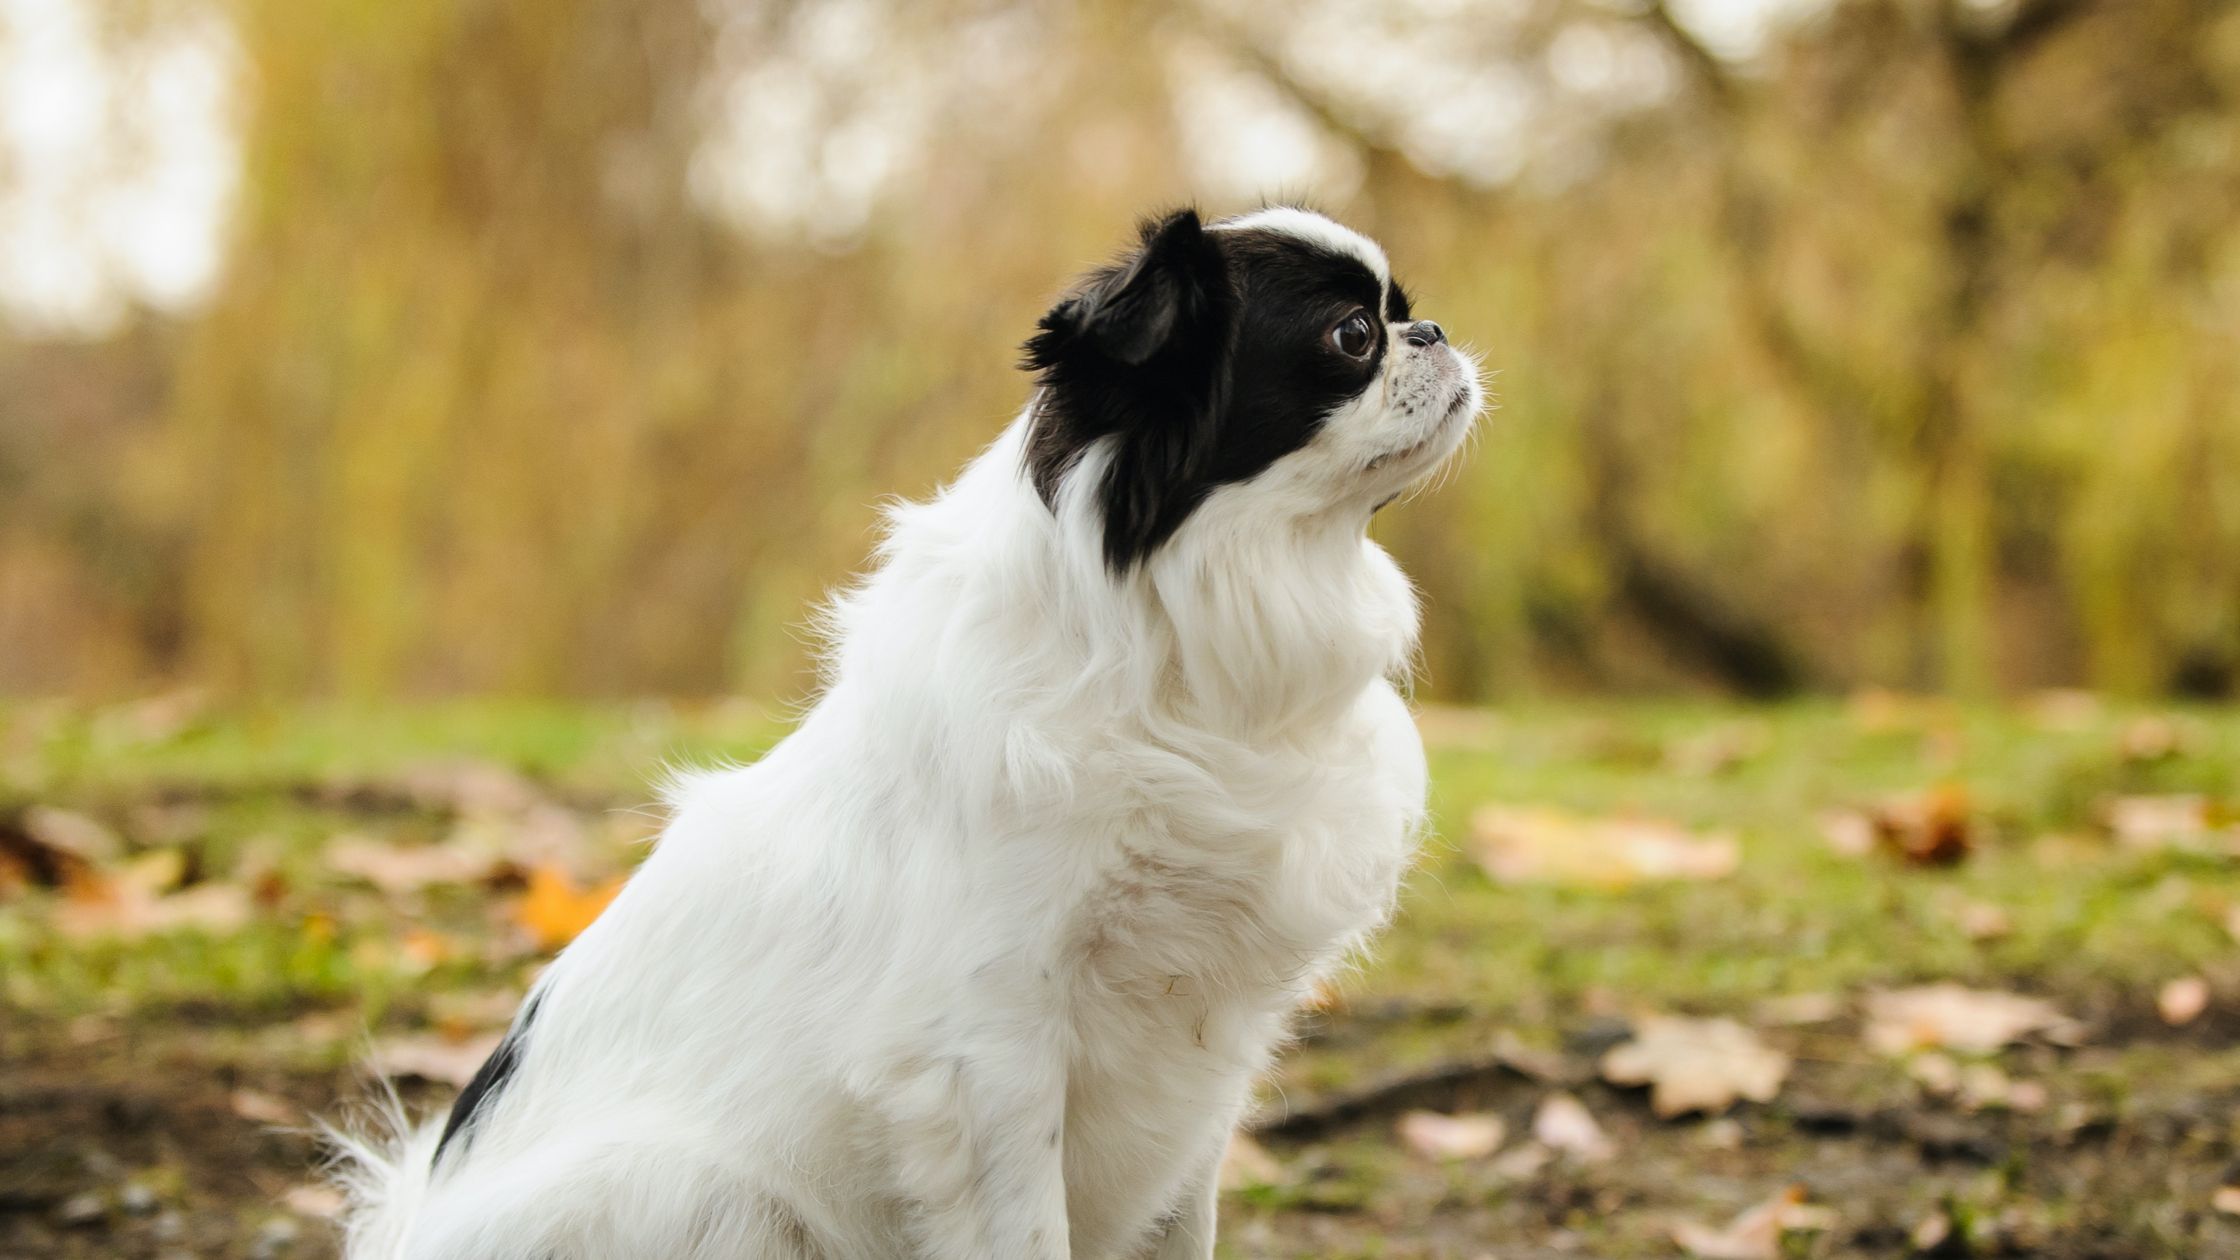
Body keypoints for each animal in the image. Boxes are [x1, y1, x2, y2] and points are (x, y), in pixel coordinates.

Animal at [331, 206, 1478, 1255]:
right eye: (1352, 337)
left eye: (1402, 313)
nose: (1431, 332)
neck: (1189, 665)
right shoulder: (991, 1050)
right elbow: (1028, 1233)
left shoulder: (1204, 1051)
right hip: (701, 1191)